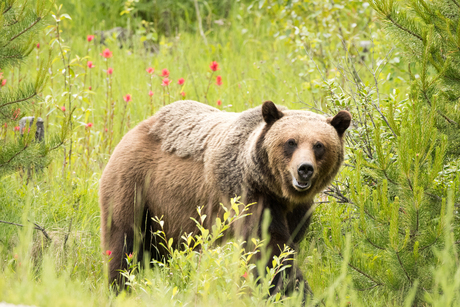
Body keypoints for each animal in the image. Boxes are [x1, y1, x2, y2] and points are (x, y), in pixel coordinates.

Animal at [99, 100, 352, 298]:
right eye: (291, 142)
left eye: (319, 145)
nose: (304, 169)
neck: (277, 190)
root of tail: (136, 128)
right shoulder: (249, 196)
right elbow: (269, 248)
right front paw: (293, 291)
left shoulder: (298, 210)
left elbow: (288, 245)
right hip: (136, 186)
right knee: (125, 242)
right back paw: (120, 288)